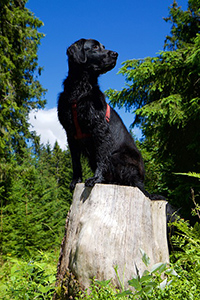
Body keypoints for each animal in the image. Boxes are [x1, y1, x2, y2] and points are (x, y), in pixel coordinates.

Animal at [57, 38, 162, 200]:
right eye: (94, 47)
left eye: (103, 46)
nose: (115, 54)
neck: (80, 90)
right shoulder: (70, 133)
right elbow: (75, 161)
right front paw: (76, 181)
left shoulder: (99, 128)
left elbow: (102, 157)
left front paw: (96, 179)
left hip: (118, 156)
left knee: (130, 181)